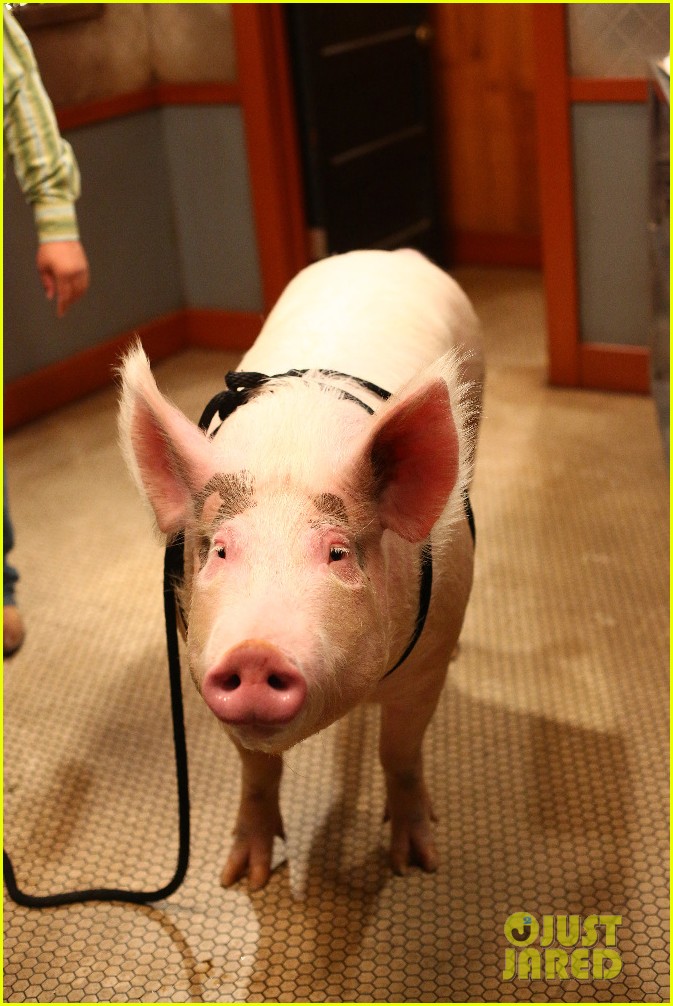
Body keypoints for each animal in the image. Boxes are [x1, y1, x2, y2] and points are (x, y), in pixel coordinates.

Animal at [118, 248, 483, 890]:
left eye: (337, 553)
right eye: (220, 551)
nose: (254, 652)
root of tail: (391, 253)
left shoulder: (430, 657)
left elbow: (400, 752)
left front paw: (415, 863)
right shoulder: (199, 655)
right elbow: (258, 770)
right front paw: (243, 878)